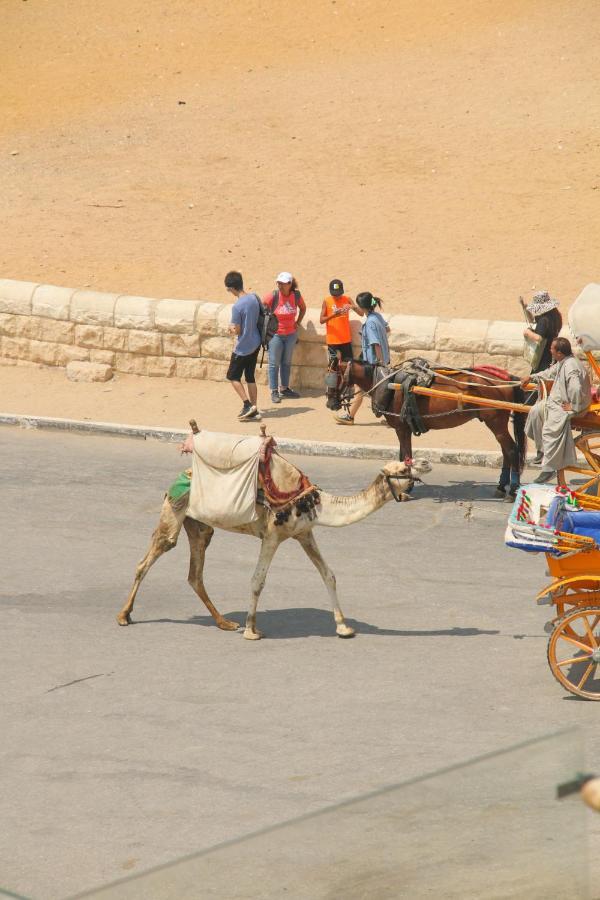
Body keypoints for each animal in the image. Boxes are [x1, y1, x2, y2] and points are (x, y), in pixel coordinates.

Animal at [116, 442, 426, 640]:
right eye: (402, 469)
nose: (423, 462)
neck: (314, 501)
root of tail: (181, 475)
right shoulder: (272, 535)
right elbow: (257, 580)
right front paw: (252, 631)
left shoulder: (303, 533)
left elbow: (329, 574)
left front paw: (343, 628)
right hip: (174, 510)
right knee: (152, 555)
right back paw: (123, 615)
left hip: (200, 526)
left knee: (195, 573)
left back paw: (225, 622)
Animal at [326, 358, 528, 500]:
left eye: (331, 378)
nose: (330, 403)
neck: (388, 384)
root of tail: (508, 380)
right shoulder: (403, 428)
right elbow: (403, 455)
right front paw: (405, 484)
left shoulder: (401, 428)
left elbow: (406, 456)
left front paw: (406, 488)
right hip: (495, 423)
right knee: (506, 451)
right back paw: (501, 487)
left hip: (496, 422)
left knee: (512, 450)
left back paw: (513, 490)